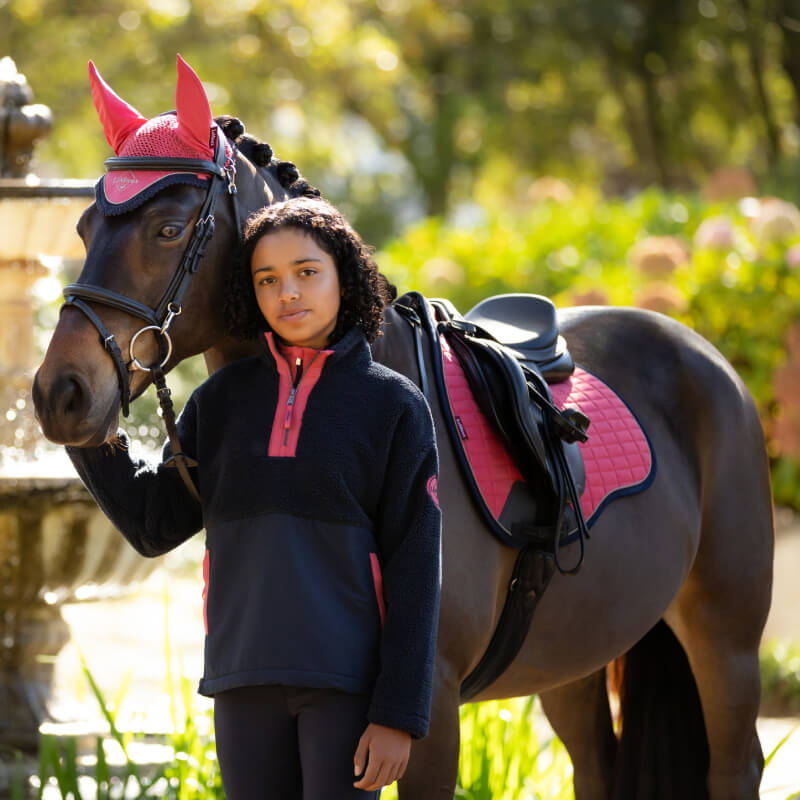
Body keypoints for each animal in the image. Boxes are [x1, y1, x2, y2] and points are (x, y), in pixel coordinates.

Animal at [32, 60, 773, 800]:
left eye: (167, 228)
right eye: (84, 228)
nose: (59, 393)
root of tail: (707, 358)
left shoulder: (427, 715)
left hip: (726, 643)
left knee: (736, 764)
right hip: (576, 660)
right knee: (598, 767)